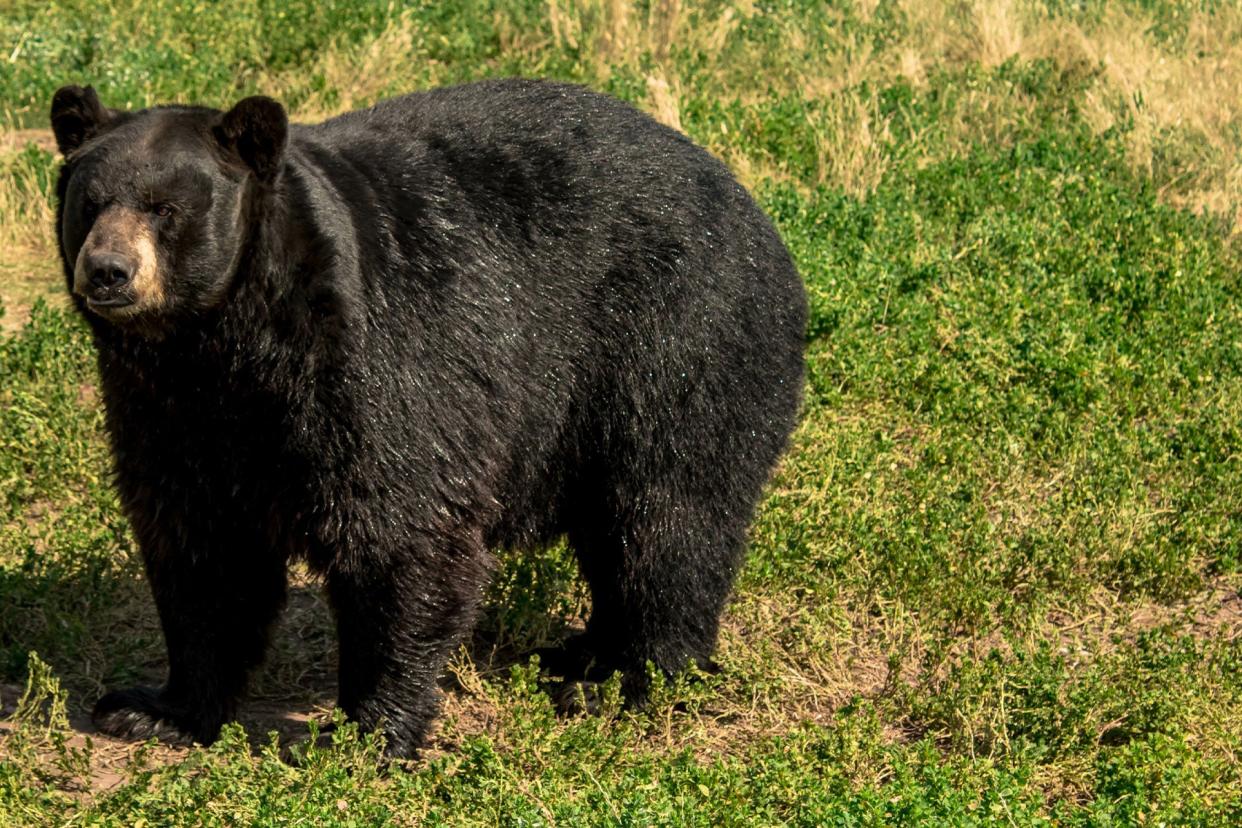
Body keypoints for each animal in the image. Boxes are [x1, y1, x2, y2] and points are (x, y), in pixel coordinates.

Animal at [50, 77, 804, 759]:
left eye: (165, 208)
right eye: (88, 203)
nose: (108, 271)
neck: (226, 345)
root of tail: (752, 206)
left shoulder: (374, 363)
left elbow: (400, 529)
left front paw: (364, 733)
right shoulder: (165, 408)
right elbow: (202, 546)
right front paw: (153, 708)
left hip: (674, 341)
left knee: (668, 517)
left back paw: (632, 679)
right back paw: (583, 652)